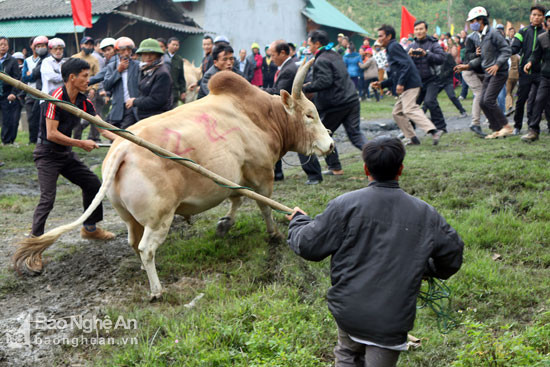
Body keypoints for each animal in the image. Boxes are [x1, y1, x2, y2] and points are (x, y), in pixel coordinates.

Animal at [14, 59, 332, 300]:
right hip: (160, 217)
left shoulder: (236, 176)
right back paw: (157, 290)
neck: (258, 115)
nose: (330, 144)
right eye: (309, 114)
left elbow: (236, 199)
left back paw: (144, 272)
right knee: (146, 248)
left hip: (129, 216)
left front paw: (225, 224)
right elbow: (263, 205)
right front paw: (274, 234)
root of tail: (123, 148)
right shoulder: (261, 172)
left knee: (134, 243)